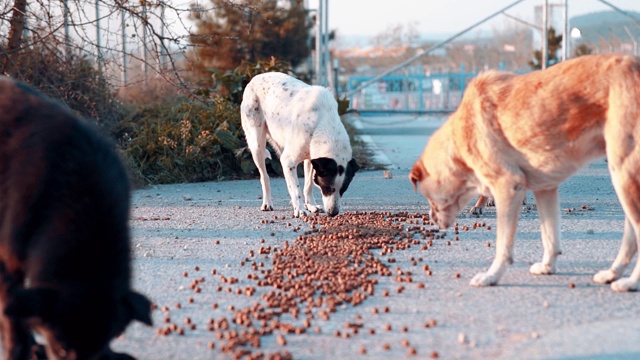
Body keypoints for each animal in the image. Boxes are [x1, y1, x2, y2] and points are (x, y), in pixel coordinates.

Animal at [410, 54, 640, 292]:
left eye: (428, 197)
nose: (431, 219)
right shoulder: (546, 189)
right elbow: (549, 236)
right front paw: (547, 266)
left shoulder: (508, 186)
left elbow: (503, 245)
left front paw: (492, 276)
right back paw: (612, 274)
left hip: (623, 175)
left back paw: (630, 282)